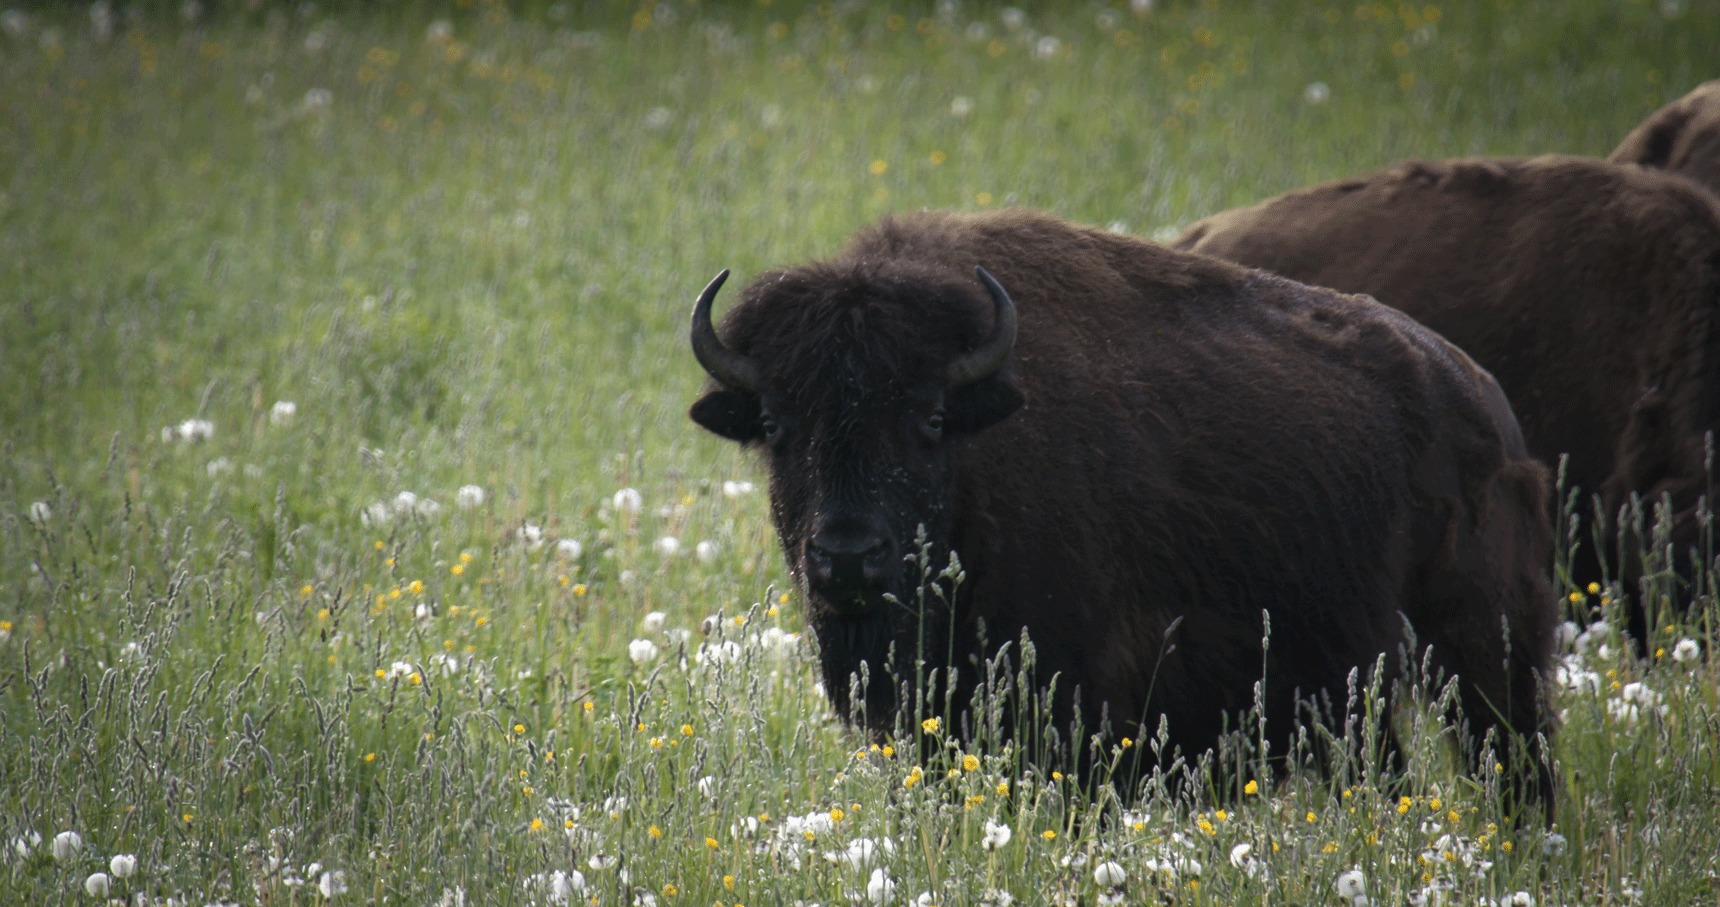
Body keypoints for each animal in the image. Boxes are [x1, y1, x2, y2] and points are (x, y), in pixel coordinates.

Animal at [689, 209, 1557, 817]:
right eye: (776, 424)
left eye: (930, 418)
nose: (847, 556)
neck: (980, 451)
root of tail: (1484, 403)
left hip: (1483, 655)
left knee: (1517, 762)